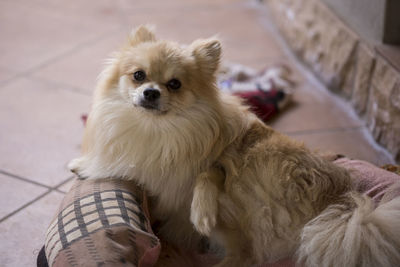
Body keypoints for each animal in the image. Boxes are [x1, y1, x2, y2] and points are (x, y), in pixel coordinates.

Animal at [70, 25, 400, 267]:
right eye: (138, 76)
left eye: (175, 84)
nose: (151, 92)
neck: (158, 130)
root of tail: (340, 205)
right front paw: (82, 166)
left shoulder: (217, 163)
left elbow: (209, 174)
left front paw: (201, 211)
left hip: (244, 193)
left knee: (245, 254)